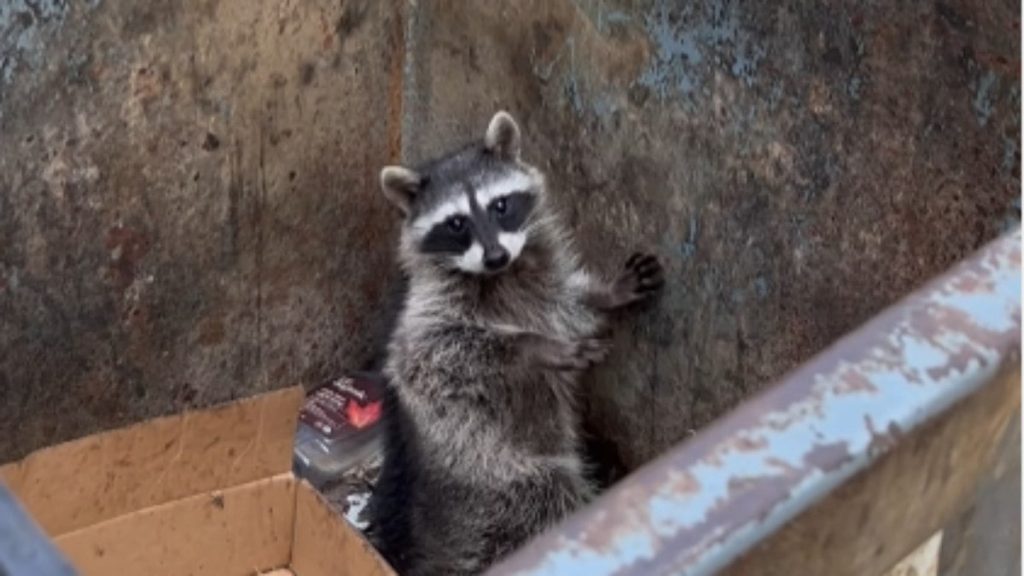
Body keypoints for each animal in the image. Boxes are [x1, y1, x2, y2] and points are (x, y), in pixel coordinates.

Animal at [368, 109, 663, 569]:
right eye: (456, 223)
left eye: (501, 205)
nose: (495, 256)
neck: (503, 274)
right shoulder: (424, 312)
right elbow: (433, 355)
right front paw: (533, 348)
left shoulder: (544, 282)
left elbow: (567, 303)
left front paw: (605, 293)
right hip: (491, 474)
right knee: (545, 494)